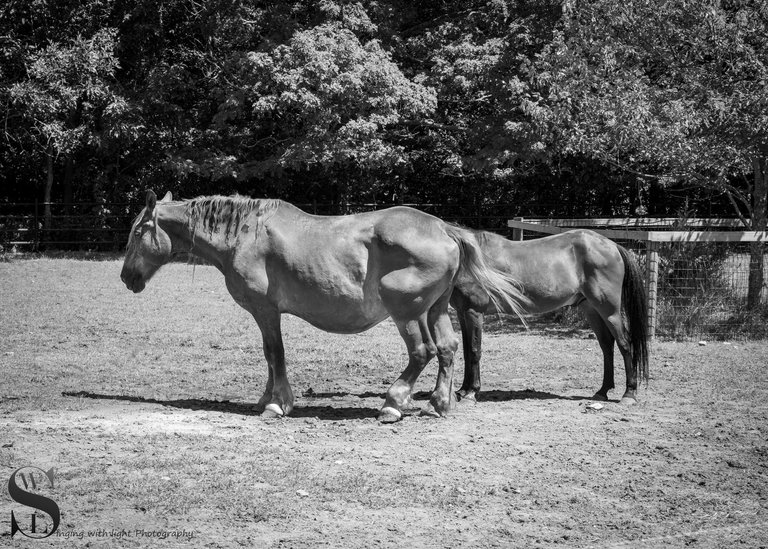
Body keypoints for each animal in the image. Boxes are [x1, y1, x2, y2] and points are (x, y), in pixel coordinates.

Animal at [120, 191, 528, 422]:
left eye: (139, 232)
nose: (127, 277)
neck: (246, 234)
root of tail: (444, 228)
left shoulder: (266, 311)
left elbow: (275, 353)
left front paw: (277, 404)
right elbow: (270, 356)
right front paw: (267, 398)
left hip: (407, 313)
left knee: (422, 352)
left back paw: (393, 403)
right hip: (436, 309)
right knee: (447, 348)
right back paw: (440, 403)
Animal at [452, 229, 652, 404]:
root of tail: (613, 246)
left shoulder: (474, 312)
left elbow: (474, 350)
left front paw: (471, 393)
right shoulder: (463, 314)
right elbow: (466, 351)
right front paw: (462, 391)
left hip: (610, 311)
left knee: (625, 344)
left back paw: (629, 394)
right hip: (592, 309)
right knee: (607, 346)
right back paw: (602, 391)